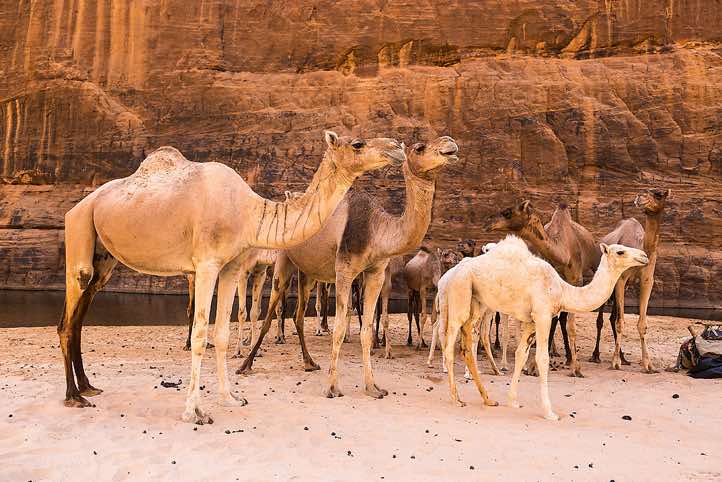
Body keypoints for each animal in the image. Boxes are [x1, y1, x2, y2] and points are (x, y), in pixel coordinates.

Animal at [57, 131, 405, 424]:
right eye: (358, 143)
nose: (398, 147)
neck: (248, 212)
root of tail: (77, 206)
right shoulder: (207, 264)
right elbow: (201, 335)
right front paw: (194, 412)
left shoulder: (231, 267)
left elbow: (222, 334)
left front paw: (231, 398)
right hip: (79, 233)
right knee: (67, 319)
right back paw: (74, 396)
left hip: (103, 259)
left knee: (79, 318)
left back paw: (88, 387)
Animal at [238, 136, 459, 401]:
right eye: (419, 148)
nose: (450, 143)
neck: (377, 230)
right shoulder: (344, 271)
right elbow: (340, 327)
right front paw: (332, 387)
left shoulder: (375, 274)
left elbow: (366, 329)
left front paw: (373, 387)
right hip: (283, 262)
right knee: (271, 312)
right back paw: (246, 364)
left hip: (307, 273)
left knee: (299, 315)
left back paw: (309, 362)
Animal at [441, 235, 649, 420]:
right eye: (620, 251)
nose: (644, 256)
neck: (562, 290)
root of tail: (448, 275)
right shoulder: (543, 315)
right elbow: (542, 359)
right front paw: (549, 412)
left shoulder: (531, 321)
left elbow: (521, 355)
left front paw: (513, 401)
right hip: (460, 293)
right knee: (450, 344)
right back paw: (456, 398)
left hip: (477, 303)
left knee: (468, 345)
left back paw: (488, 399)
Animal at [491, 201, 601, 377]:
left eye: (508, 212)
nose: (489, 223)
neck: (563, 253)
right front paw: (533, 367)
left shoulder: (576, 280)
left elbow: (571, 327)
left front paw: (576, 368)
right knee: (556, 319)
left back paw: (574, 358)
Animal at [591, 188, 670, 372]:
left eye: (658, 194)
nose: (639, 197)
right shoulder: (621, 279)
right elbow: (620, 321)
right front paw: (615, 362)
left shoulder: (647, 280)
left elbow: (642, 323)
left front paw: (648, 364)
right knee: (601, 319)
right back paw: (596, 355)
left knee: (612, 316)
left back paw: (623, 357)